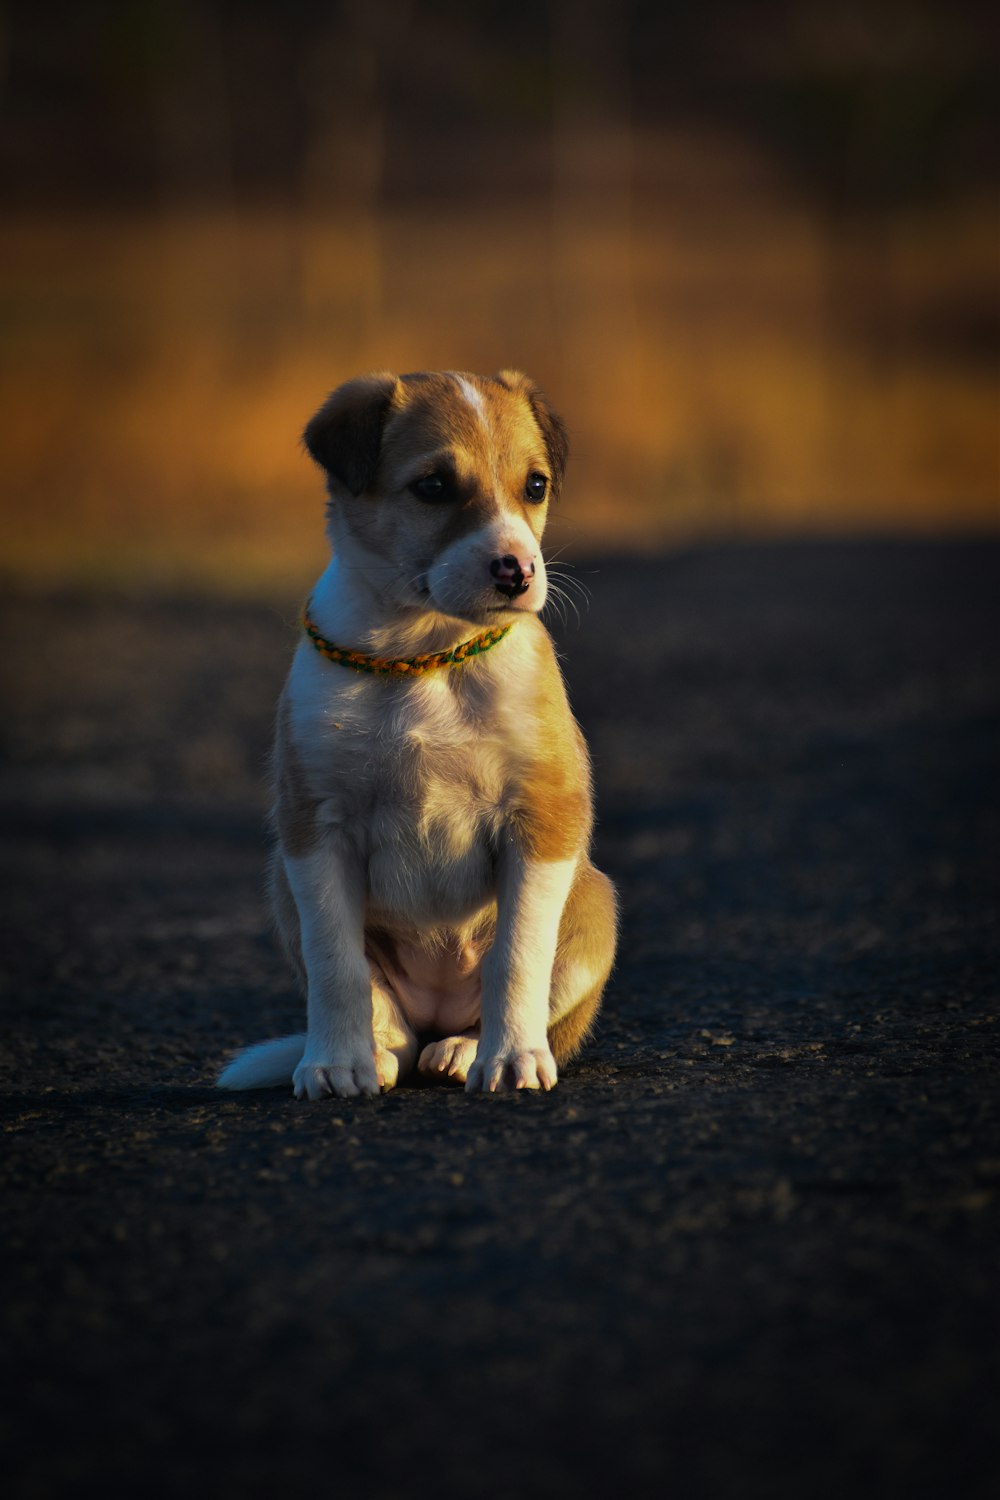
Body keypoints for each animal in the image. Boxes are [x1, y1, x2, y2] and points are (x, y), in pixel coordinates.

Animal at [215, 369, 614, 1098]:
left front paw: (511, 1058)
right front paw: (336, 1064)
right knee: (391, 1021)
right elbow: (338, 965)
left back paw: (465, 1049)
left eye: (535, 486)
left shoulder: (540, 818)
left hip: (597, 904)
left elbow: (517, 955)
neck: (424, 654)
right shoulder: (317, 833)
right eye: (433, 486)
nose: (517, 571)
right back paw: (380, 1054)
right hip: (282, 890)